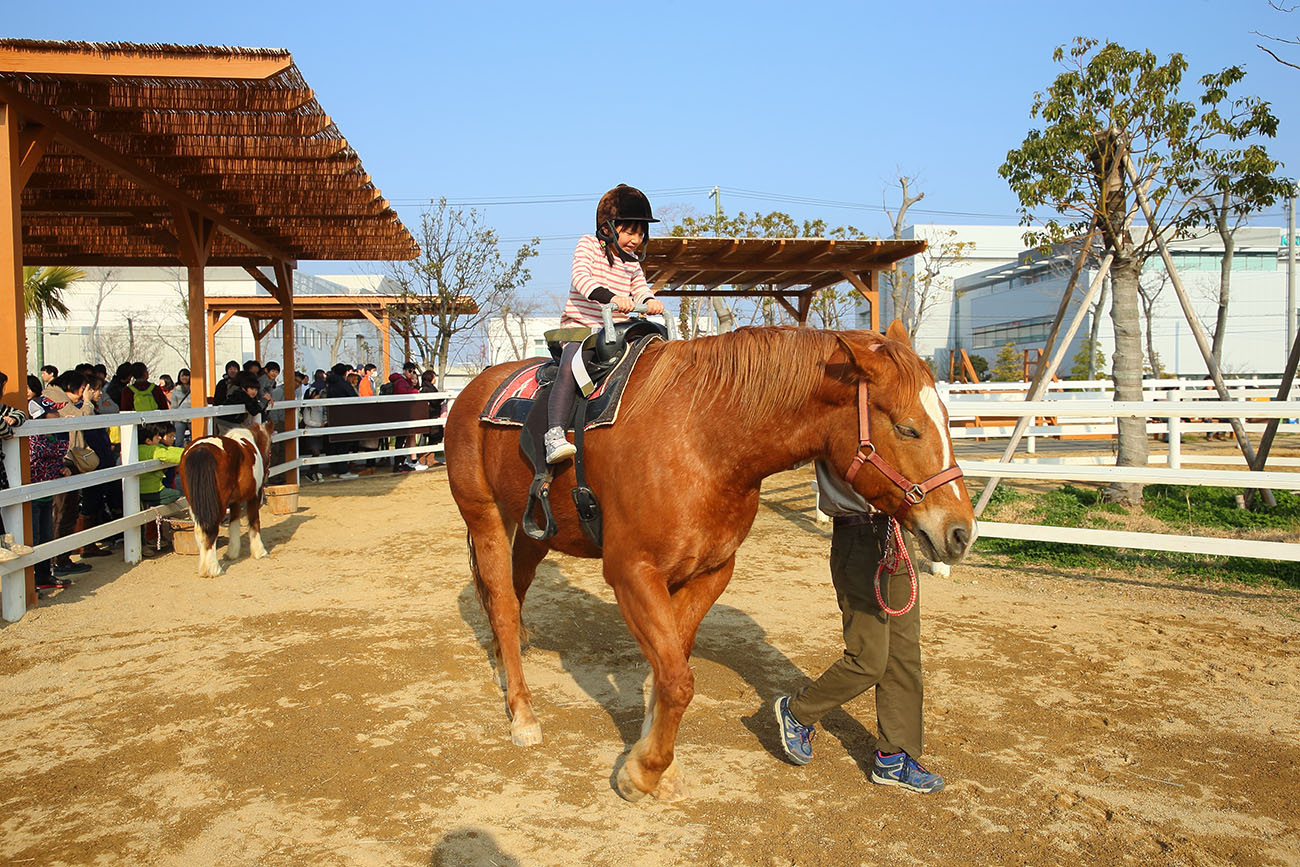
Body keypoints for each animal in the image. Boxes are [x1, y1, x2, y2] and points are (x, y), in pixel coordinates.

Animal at [180, 421, 274, 577]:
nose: (268, 472)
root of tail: (202, 450)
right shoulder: (255, 495)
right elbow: (254, 522)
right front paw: (260, 552)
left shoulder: (234, 501)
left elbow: (234, 523)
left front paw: (232, 553)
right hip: (218, 506)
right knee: (211, 529)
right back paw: (214, 569)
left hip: (195, 505)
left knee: (200, 530)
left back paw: (204, 567)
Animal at [441, 322, 972, 805]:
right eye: (906, 427)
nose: (960, 532)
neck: (704, 438)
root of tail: (473, 388)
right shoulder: (632, 573)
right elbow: (677, 681)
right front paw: (644, 774)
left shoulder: (709, 574)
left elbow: (668, 669)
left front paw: (654, 761)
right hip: (485, 517)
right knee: (502, 605)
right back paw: (523, 715)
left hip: (534, 529)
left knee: (513, 591)